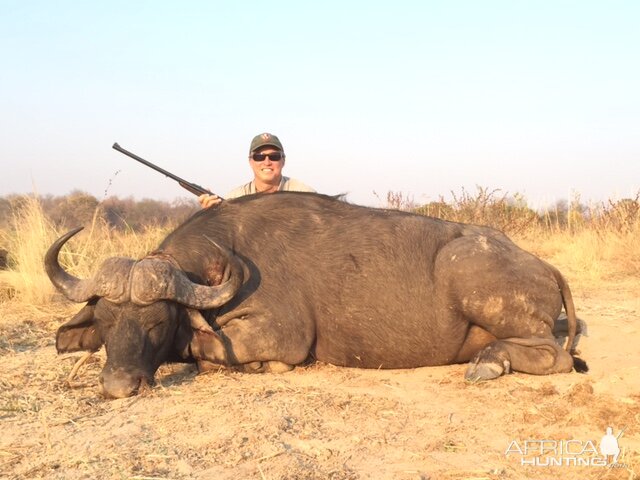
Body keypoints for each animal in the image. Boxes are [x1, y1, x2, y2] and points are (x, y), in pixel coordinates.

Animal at [45, 191, 584, 398]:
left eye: (156, 322)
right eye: (107, 323)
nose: (118, 387)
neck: (222, 261)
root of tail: (540, 264)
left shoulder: (282, 336)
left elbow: (206, 350)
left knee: (555, 356)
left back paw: (490, 363)